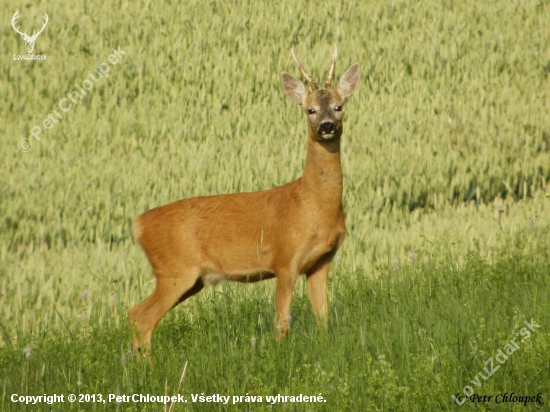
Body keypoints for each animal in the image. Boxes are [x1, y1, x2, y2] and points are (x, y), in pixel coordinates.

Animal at [130, 45, 362, 360]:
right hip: (175, 270)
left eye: (339, 106)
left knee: (135, 313)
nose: (327, 126)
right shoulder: (285, 258)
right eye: (310, 110)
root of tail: (138, 224)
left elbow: (323, 318)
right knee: (142, 318)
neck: (311, 205)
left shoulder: (321, 262)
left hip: (189, 278)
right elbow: (281, 323)